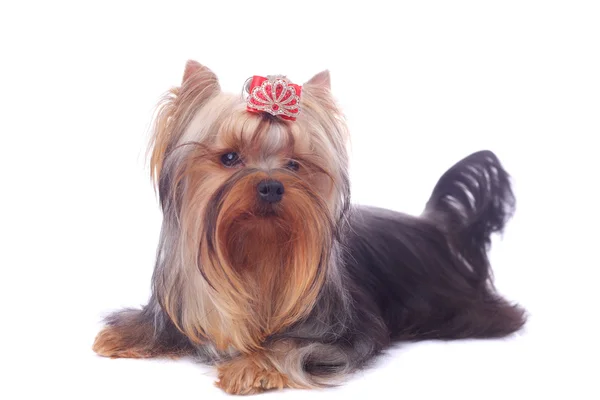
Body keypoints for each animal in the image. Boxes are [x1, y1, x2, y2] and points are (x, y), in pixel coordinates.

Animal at [92, 61, 524, 396]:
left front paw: (253, 366)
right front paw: (126, 334)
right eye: (229, 158)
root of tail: (434, 225)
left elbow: (292, 348)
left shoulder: (344, 336)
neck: (257, 253)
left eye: (295, 165)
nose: (271, 185)